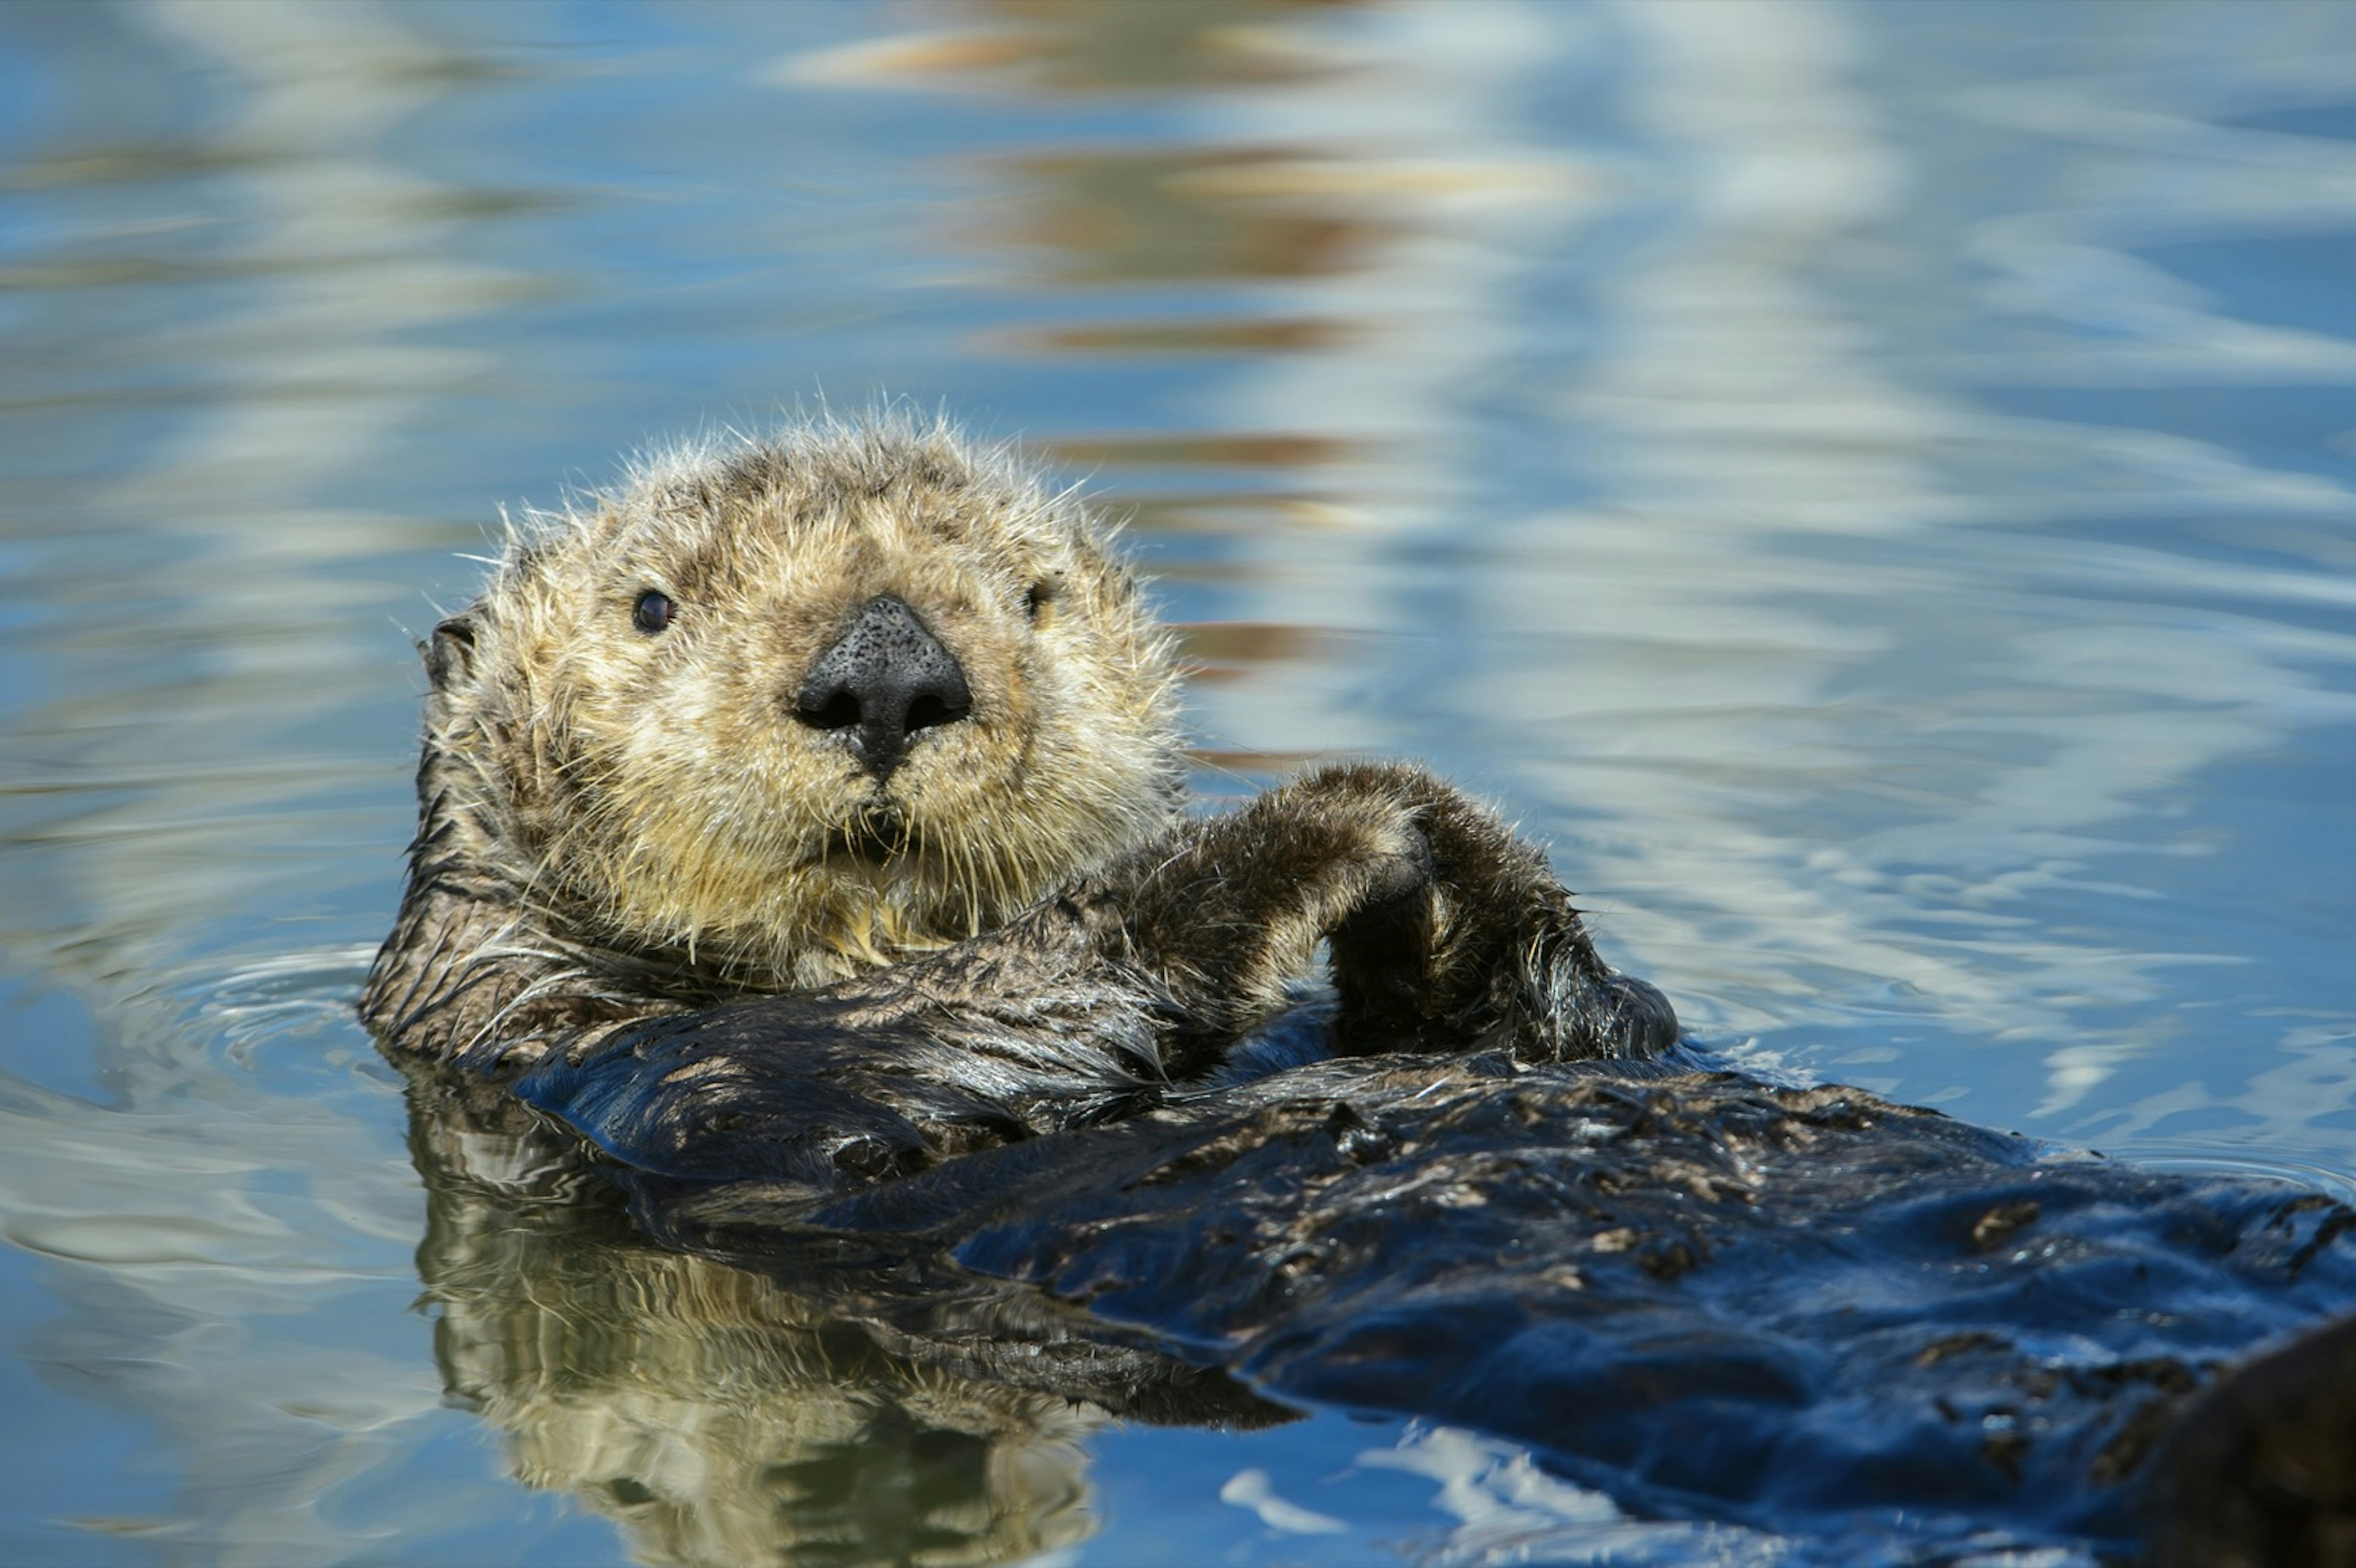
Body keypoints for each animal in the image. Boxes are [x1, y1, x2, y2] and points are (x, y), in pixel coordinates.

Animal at [358, 414, 1668, 1186]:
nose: (888, 671)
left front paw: (1455, 846)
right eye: (650, 607)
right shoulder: (620, 1073)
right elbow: (896, 1038)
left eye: (1037, 598)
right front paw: (1327, 826)